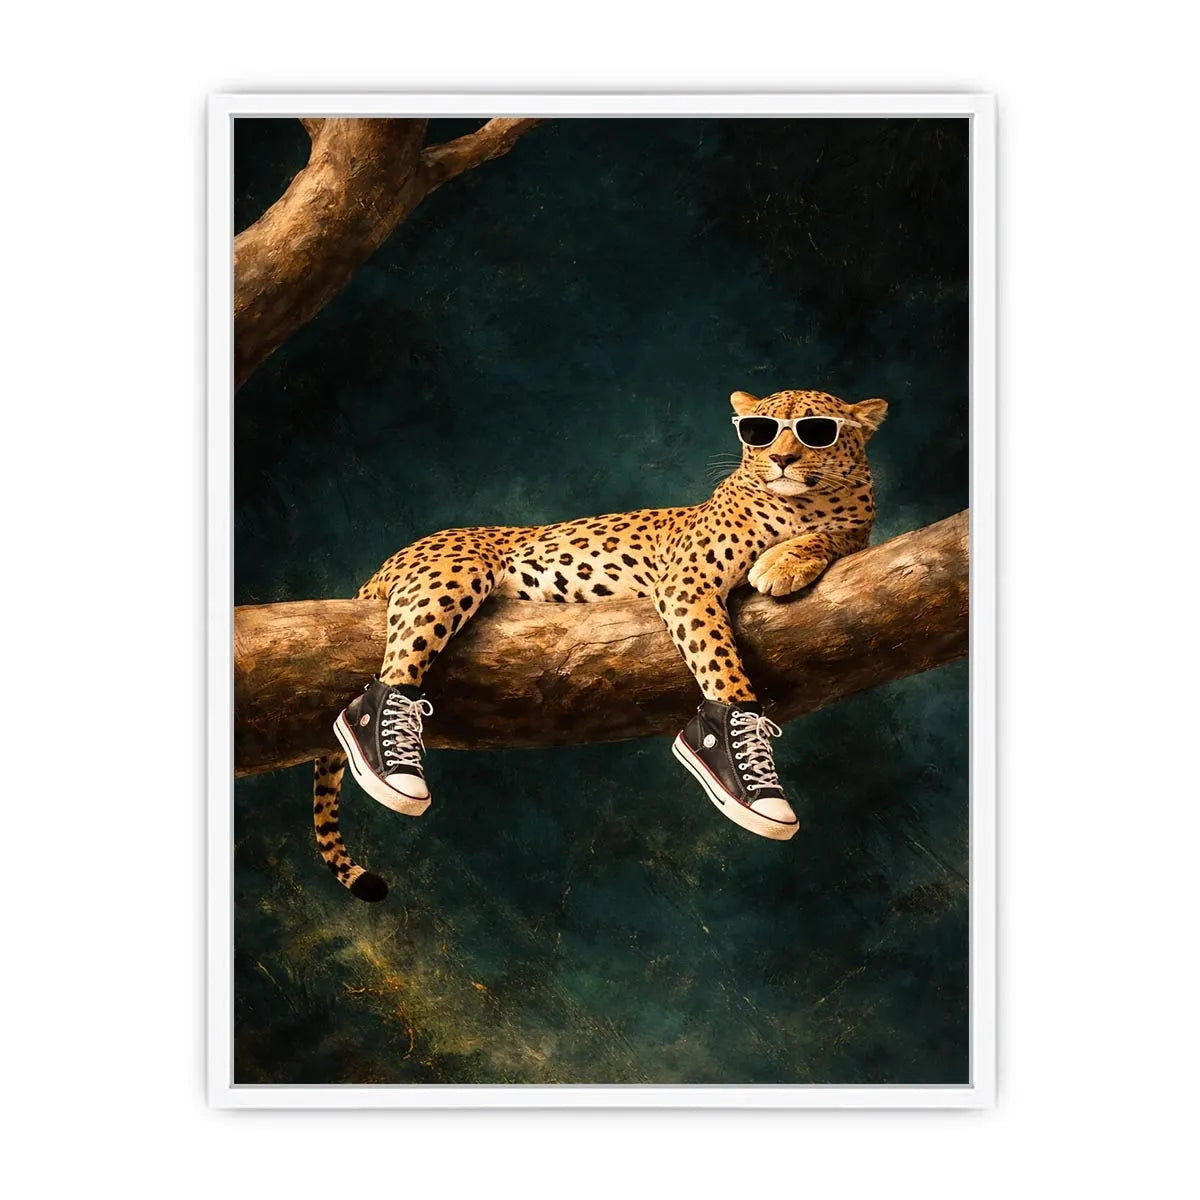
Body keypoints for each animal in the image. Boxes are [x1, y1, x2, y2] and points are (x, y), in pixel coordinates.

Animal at [313, 388, 887, 900]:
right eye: (761, 432)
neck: (804, 505)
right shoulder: (688, 579)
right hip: (454, 570)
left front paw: (785, 561)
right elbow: (719, 659)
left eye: (816, 432)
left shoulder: (856, 534)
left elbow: (834, 536)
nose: (783, 459)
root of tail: (390, 560)